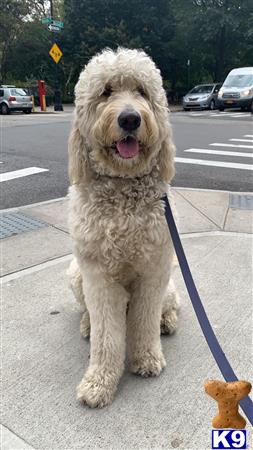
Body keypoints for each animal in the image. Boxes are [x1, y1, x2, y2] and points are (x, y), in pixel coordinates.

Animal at [68, 48, 180, 408]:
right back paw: (87, 324)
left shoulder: (154, 271)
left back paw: (167, 321)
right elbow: (107, 337)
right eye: (106, 92)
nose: (130, 118)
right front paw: (99, 382)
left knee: (168, 306)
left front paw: (146, 358)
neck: (123, 184)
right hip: (76, 275)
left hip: (170, 284)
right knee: (90, 314)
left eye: (142, 92)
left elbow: (144, 321)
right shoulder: (99, 278)